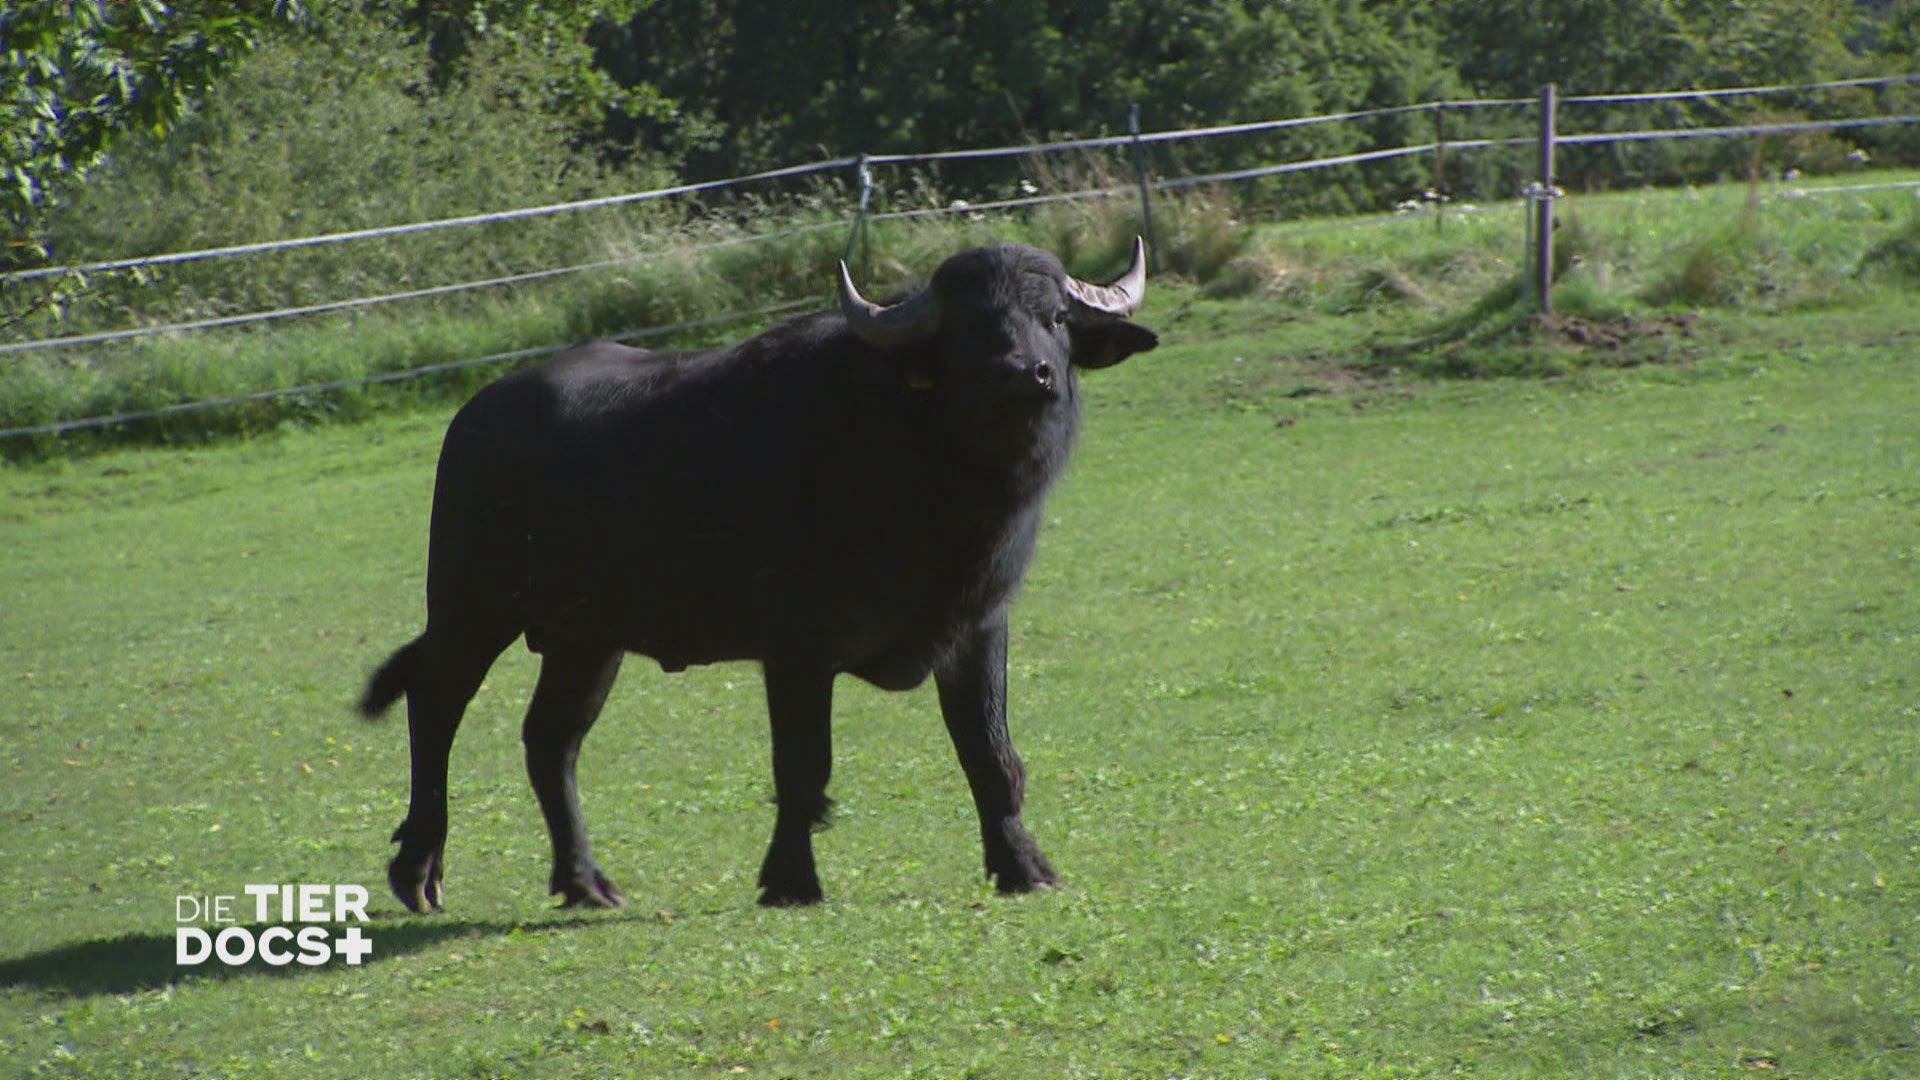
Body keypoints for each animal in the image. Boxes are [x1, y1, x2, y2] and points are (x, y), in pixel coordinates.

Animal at [362, 237, 1152, 907]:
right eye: (968, 328)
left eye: (1055, 318)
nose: (1026, 374)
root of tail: (475, 416)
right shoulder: (796, 647)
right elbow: (802, 767)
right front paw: (790, 879)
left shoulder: (978, 627)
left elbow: (990, 754)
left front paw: (1023, 865)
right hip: (471, 605)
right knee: (435, 704)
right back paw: (419, 868)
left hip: (586, 641)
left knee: (549, 741)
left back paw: (585, 881)